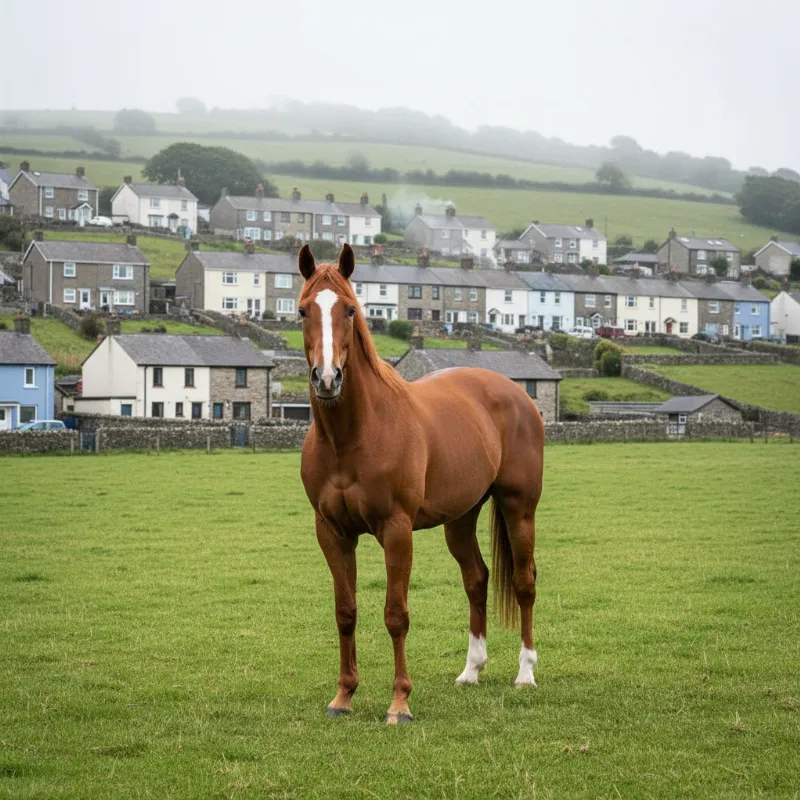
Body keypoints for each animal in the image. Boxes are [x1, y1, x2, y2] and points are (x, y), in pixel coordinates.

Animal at [297, 244, 544, 724]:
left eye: (350, 309)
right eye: (302, 311)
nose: (327, 378)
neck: (353, 435)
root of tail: (517, 394)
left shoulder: (397, 530)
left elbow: (396, 614)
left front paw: (400, 703)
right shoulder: (332, 532)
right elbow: (345, 612)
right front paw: (344, 696)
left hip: (518, 509)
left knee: (524, 582)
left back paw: (525, 673)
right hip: (460, 519)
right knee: (477, 579)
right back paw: (471, 670)